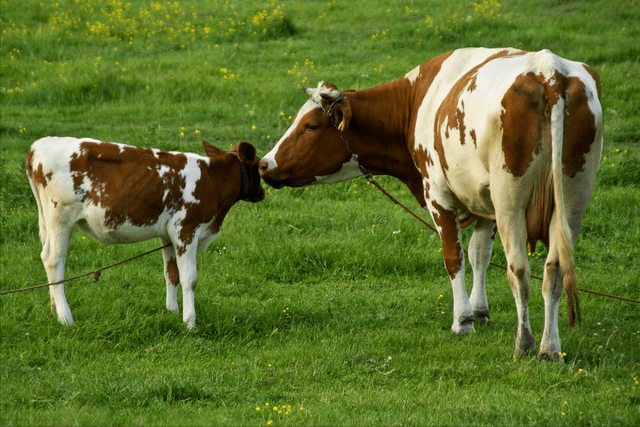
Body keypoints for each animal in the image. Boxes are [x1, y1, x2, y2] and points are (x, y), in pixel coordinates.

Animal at [26, 135, 264, 330]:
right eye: (259, 166)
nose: (262, 193)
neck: (210, 180)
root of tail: (40, 145)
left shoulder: (168, 235)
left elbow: (171, 274)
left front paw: (172, 312)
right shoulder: (186, 230)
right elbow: (189, 279)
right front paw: (190, 323)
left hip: (47, 221)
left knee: (45, 257)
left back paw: (54, 309)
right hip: (61, 218)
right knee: (53, 261)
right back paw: (66, 318)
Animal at [258, 46, 604, 362]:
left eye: (311, 126)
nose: (264, 164)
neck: (416, 101)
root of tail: (550, 71)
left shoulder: (439, 194)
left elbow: (455, 257)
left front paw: (463, 320)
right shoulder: (484, 201)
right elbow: (479, 254)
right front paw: (480, 310)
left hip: (511, 199)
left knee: (518, 270)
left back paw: (525, 344)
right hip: (572, 198)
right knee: (554, 269)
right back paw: (550, 349)